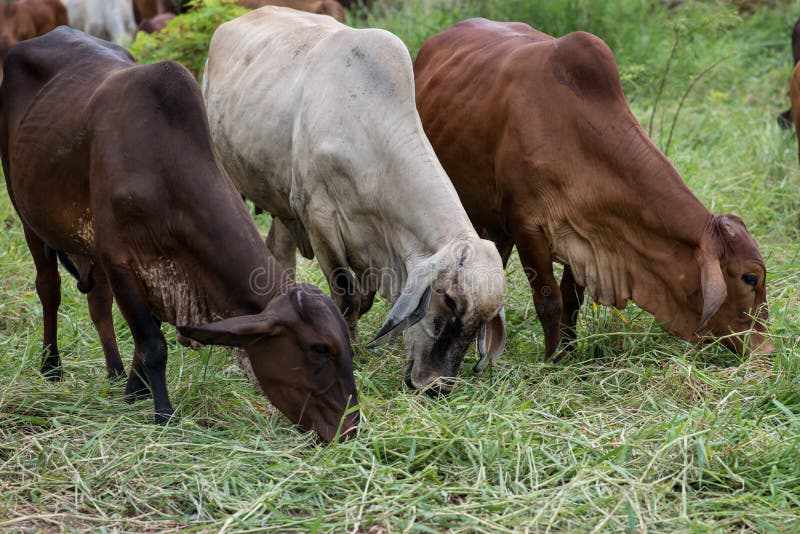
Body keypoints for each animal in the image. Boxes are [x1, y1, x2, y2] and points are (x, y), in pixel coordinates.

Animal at [0, 27, 358, 443]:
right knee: (49, 290)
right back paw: (51, 366)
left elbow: (144, 337)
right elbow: (153, 345)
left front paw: (133, 390)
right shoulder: (120, 260)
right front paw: (163, 414)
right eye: (319, 349)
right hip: (27, 214)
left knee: (98, 303)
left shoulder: (143, 267)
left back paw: (113, 371)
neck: (164, 170)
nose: (351, 428)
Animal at [203, 7, 507, 395]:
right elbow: (347, 297)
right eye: (449, 299)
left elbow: (363, 300)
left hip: (281, 206)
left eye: (484, 319)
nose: (436, 386)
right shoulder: (319, 218)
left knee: (280, 253)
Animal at [414, 19, 773, 361]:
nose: (766, 349)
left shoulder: (587, 234)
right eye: (750, 278)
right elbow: (549, 300)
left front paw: (572, 353)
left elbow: (572, 299)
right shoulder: (526, 225)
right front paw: (554, 359)